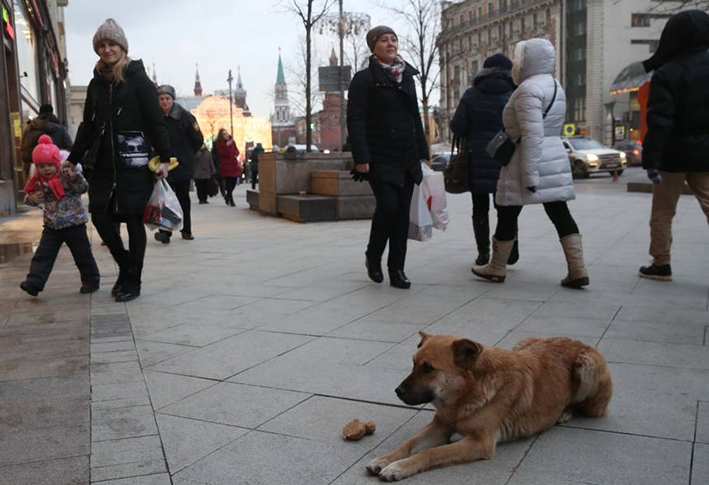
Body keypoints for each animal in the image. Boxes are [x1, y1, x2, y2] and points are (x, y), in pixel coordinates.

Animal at [368, 332, 612, 480]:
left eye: (428, 368)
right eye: (413, 364)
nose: (397, 391)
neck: (467, 393)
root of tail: (577, 340)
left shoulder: (480, 443)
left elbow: (430, 453)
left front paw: (399, 467)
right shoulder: (440, 426)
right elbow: (408, 444)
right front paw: (385, 459)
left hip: (587, 366)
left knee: (587, 406)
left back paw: (565, 412)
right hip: (522, 343)